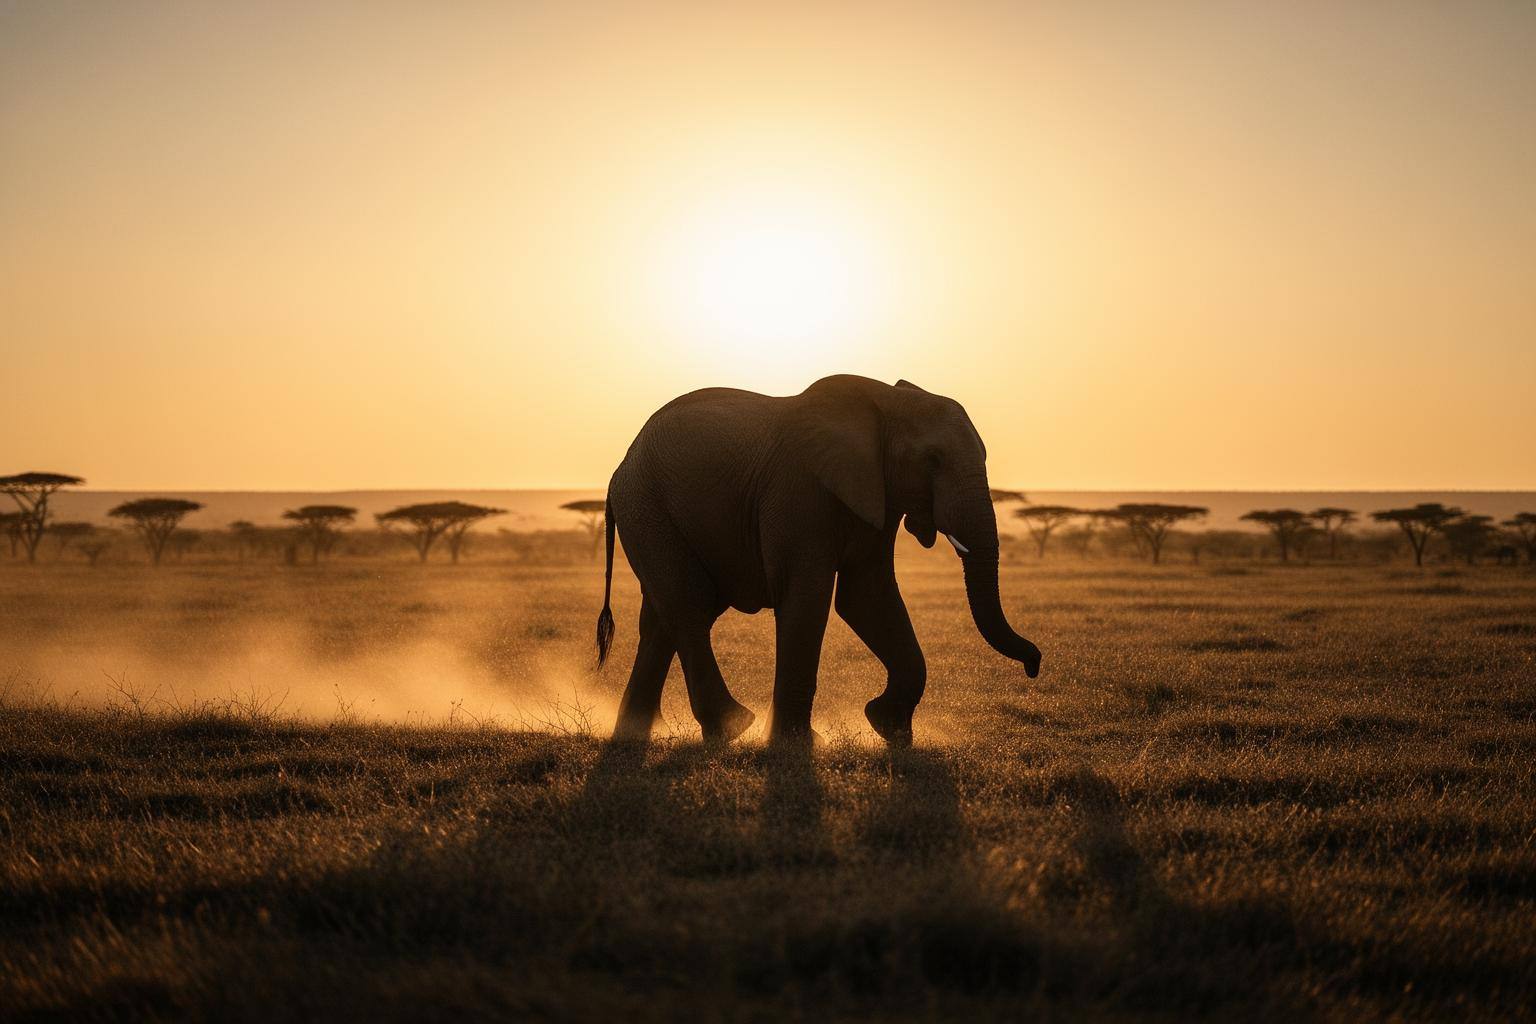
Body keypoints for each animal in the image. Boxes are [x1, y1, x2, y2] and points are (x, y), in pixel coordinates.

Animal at [593, 374, 1041, 747]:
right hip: (647, 508)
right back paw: (731, 728)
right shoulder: (799, 490)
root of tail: (619, 467)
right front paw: (796, 746)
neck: (885, 403)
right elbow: (807, 597)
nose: (1034, 665)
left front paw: (889, 730)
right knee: (689, 607)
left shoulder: (877, 495)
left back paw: (633, 736)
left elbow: (868, 598)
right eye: (932, 460)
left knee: (661, 620)